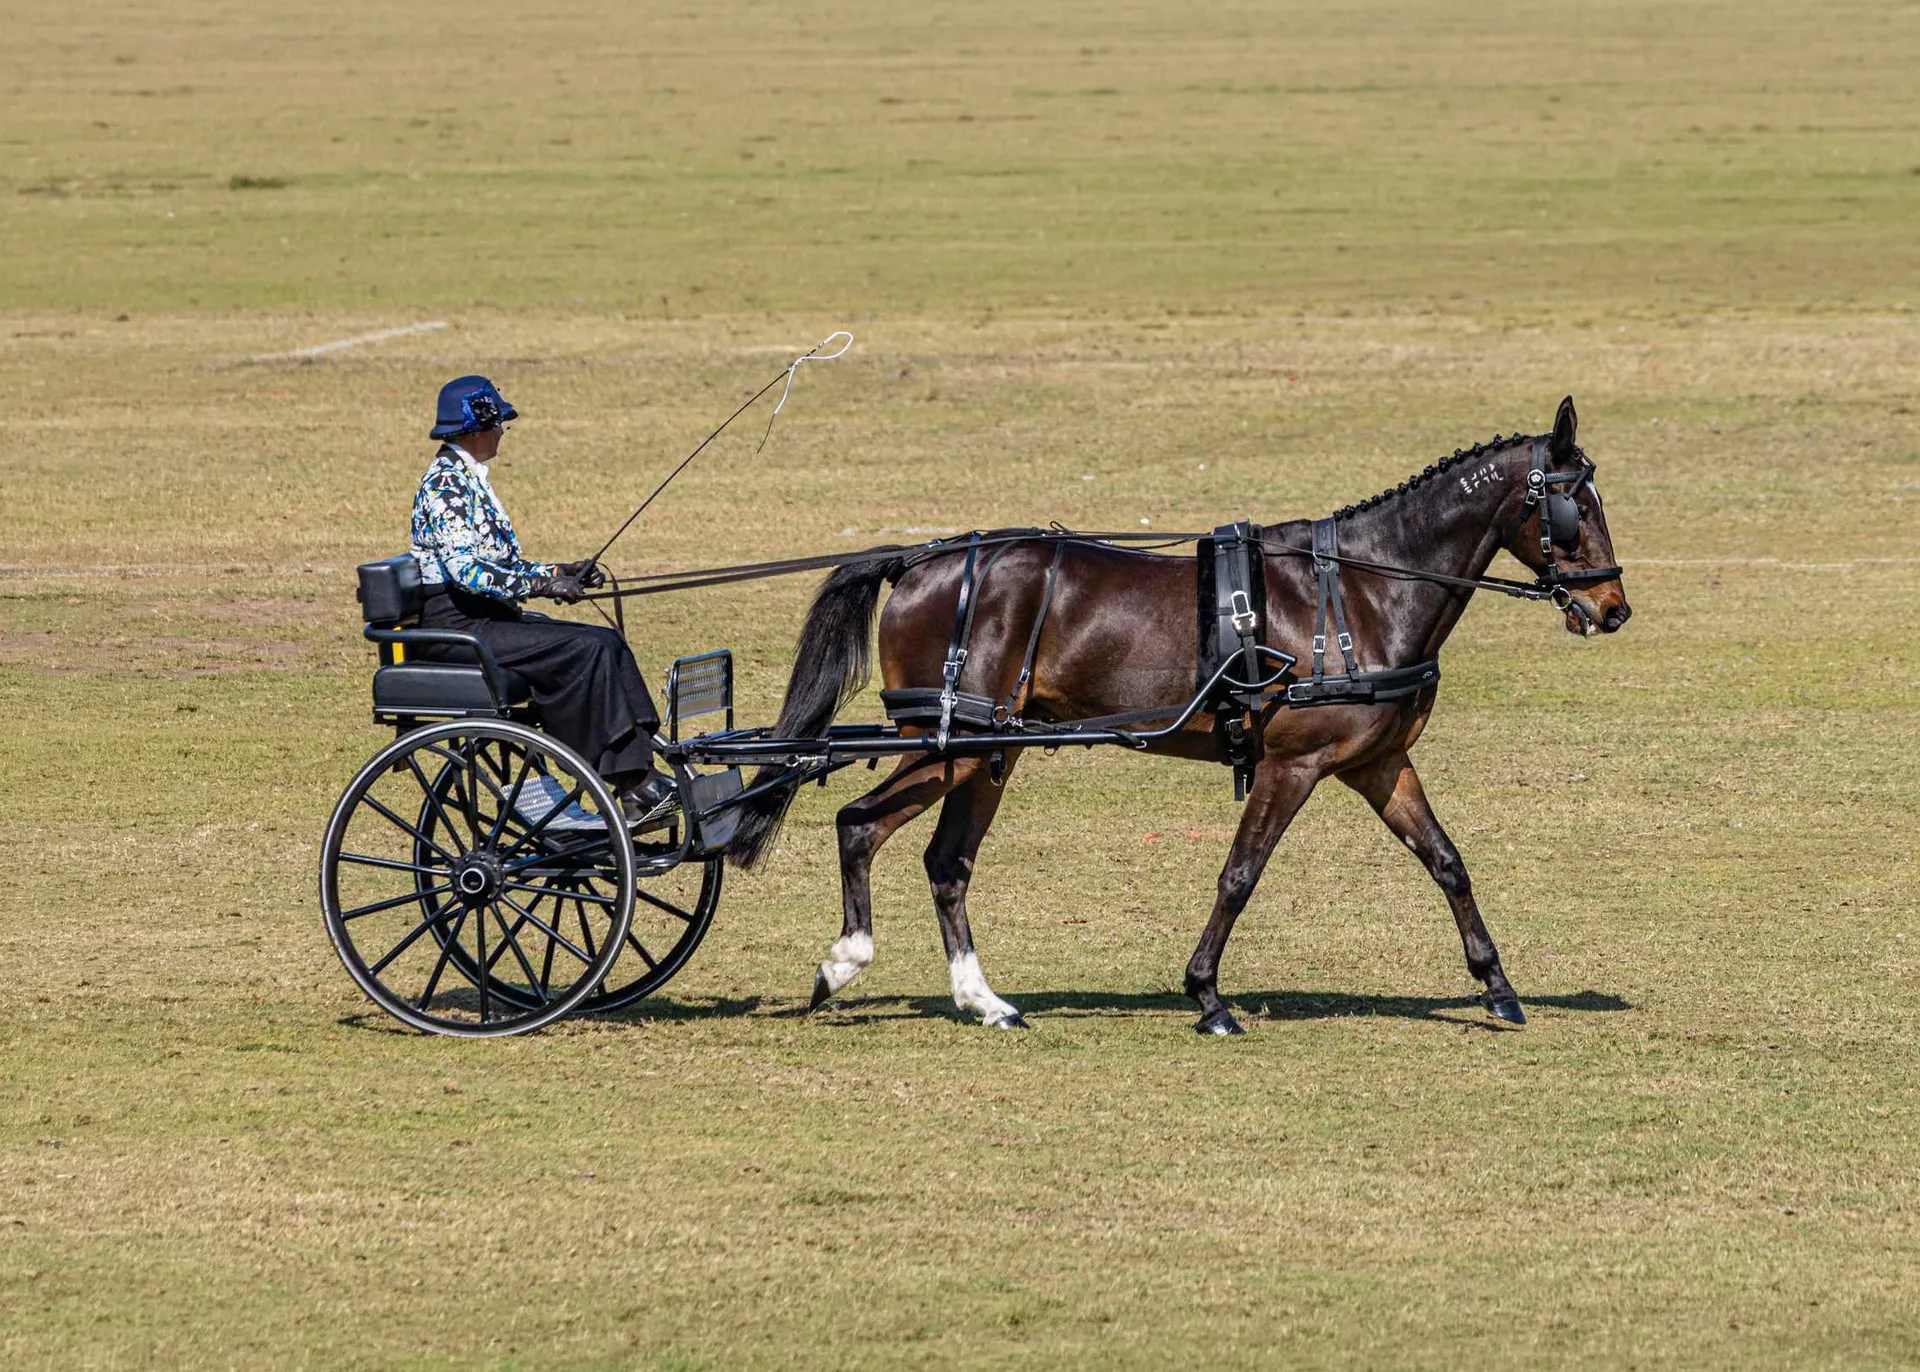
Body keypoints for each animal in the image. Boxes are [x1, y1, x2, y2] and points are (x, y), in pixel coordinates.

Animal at [726, 397, 1631, 1034]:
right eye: (1574, 506)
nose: (1613, 608)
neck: (1363, 590)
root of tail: (920, 560)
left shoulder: (1377, 763)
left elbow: (1447, 862)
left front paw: (1498, 987)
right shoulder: (1293, 764)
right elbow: (1240, 874)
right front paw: (1208, 997)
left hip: (986, 752)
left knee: (946, 864)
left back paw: (985, 1001)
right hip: (946, 745)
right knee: (857, 822)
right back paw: (844, 963)